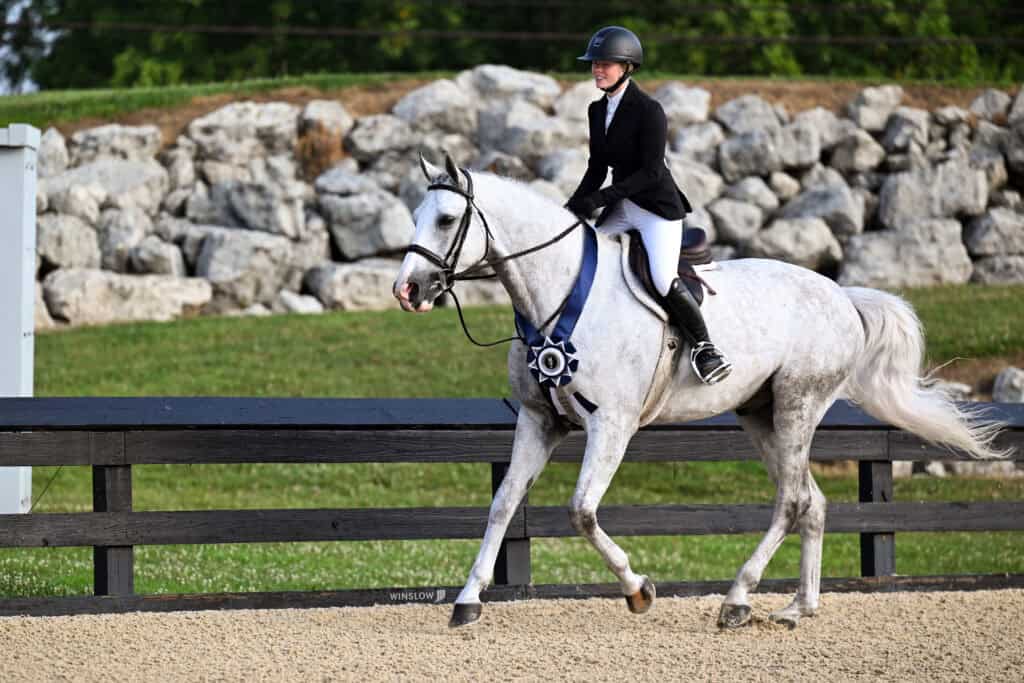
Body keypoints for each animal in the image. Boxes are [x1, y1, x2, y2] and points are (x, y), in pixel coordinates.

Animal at [392, 152, 1008, 630]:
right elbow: (502, 504)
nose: (408, 290)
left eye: (446, 219)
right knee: (811, 500)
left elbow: (582, 511)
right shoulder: (539, 420)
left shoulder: (611, 424)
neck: (561, 293)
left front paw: (639, 590)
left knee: (792, 500)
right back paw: (797, 608)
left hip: (798, 404)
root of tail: (841, 294)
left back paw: (737, 599)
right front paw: (468, 601)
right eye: (417, 216)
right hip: (761, 415)